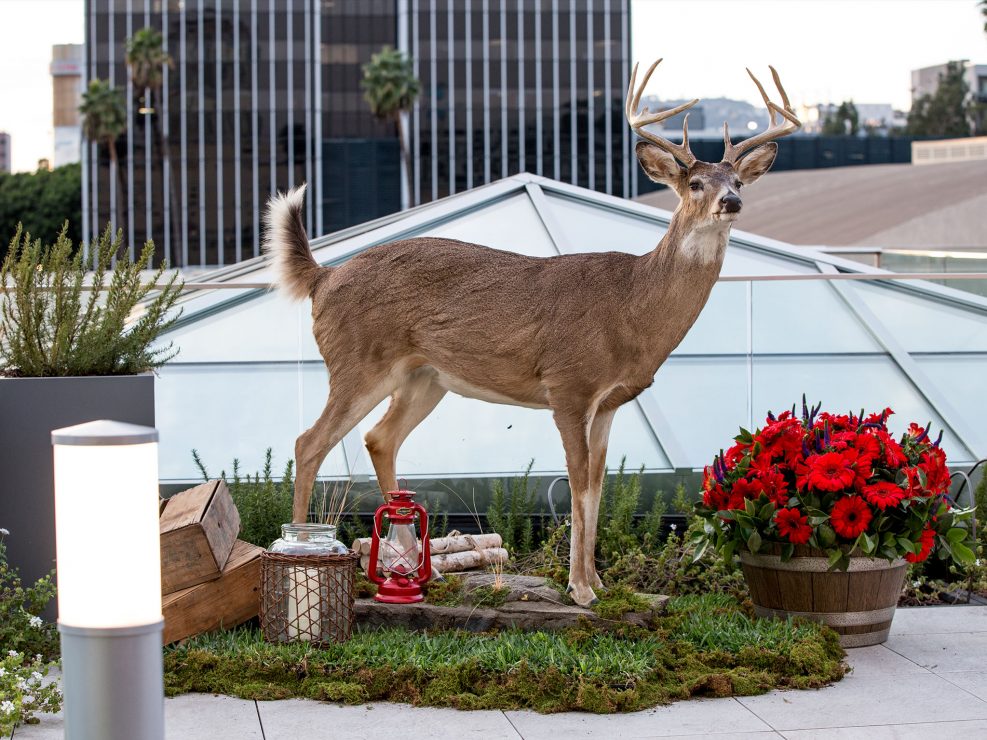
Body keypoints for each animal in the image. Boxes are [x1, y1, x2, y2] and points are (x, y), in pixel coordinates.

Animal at [264, 59, 804, 608]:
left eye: (737, 179)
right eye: (695, 182)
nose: (731, 201)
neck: (632, 309)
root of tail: (323, 278)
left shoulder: (608, 402)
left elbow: (598, 485)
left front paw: (599, 582)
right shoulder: (569, 385)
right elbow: (578, 484)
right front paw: (580, 589)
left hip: (425, 377)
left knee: (379, 438)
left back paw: (417, 568)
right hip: (357, 361)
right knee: (309, 442)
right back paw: (303, 560)